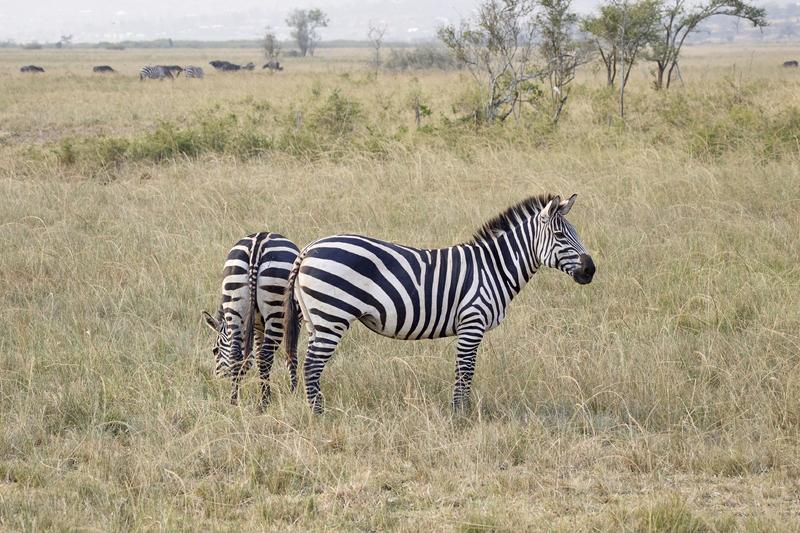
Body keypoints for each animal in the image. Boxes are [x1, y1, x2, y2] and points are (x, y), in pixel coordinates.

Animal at [202, 231, 302, 406]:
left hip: (233, 299)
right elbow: (291, 354)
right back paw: (264, 401)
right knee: (266, 355)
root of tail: (258, 242)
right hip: (276, 308)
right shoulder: (295, 321)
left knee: (238, 355)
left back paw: (235, 400)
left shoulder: (256, 326)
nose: (216, 379)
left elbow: (251, 356)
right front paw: (293, 393)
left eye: (215, 350)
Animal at [282, 193, 592, 414]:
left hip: (315, 318)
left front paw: (462, 412)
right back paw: (319, 416)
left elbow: (465, 371)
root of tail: (309, 249)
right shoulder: (472, 323)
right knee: (312, 366)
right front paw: (461, 415)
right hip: (332, 316)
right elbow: (465, 371)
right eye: (561, 236)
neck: (494, 268)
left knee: (308, 365)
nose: (592, 270)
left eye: (576, 233)